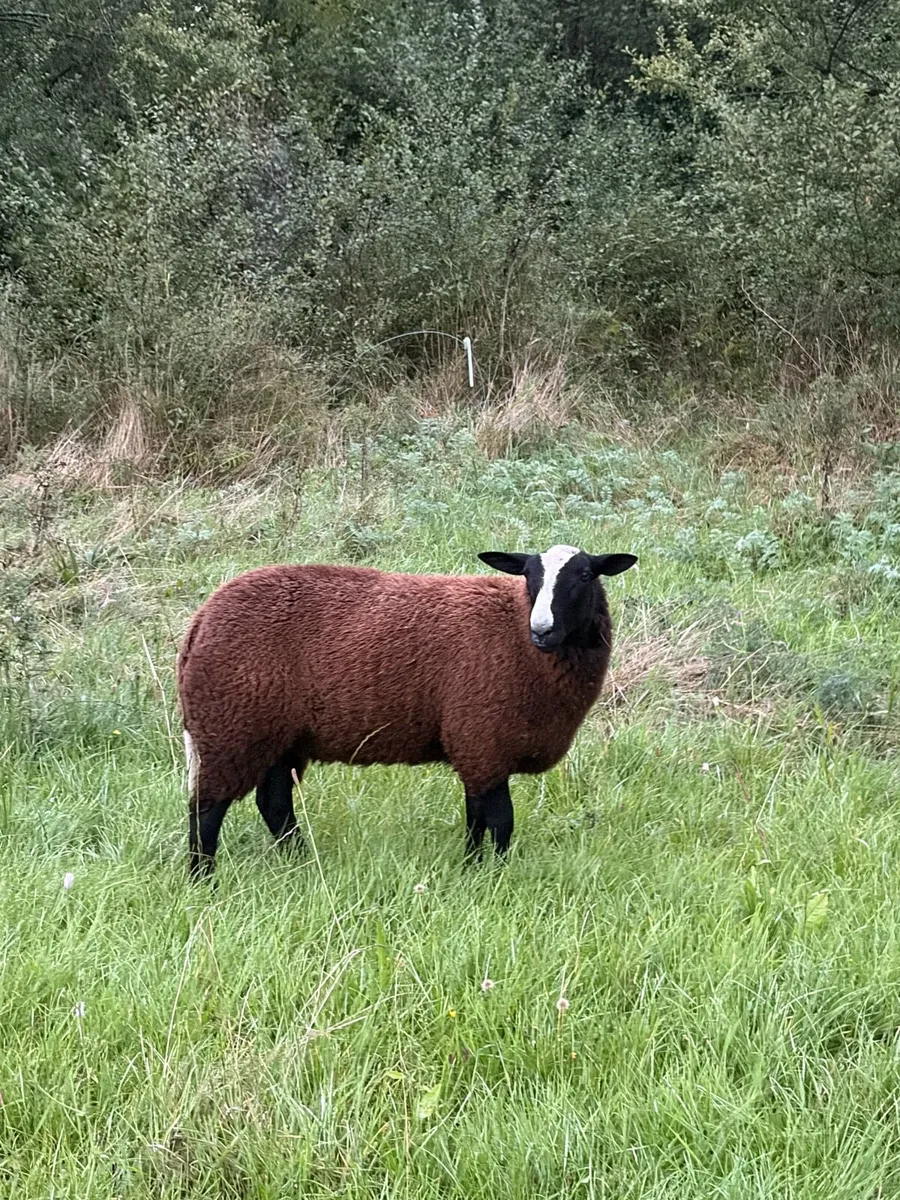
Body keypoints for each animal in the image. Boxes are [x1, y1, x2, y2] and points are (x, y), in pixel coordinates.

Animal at [177, 544, 637, 877]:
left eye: (584, 575)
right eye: (528, 576)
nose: (542, 630)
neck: (517, 635)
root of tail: (201, 619)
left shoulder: (474, 744)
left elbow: (476, 817)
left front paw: (472, 868)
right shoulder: (484, 739)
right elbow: (501, 820)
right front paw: (497, 876)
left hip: (278, 734)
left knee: (273, 802)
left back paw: (299, 862)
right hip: (232, 727)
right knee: (206, 807)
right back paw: (204, 877)